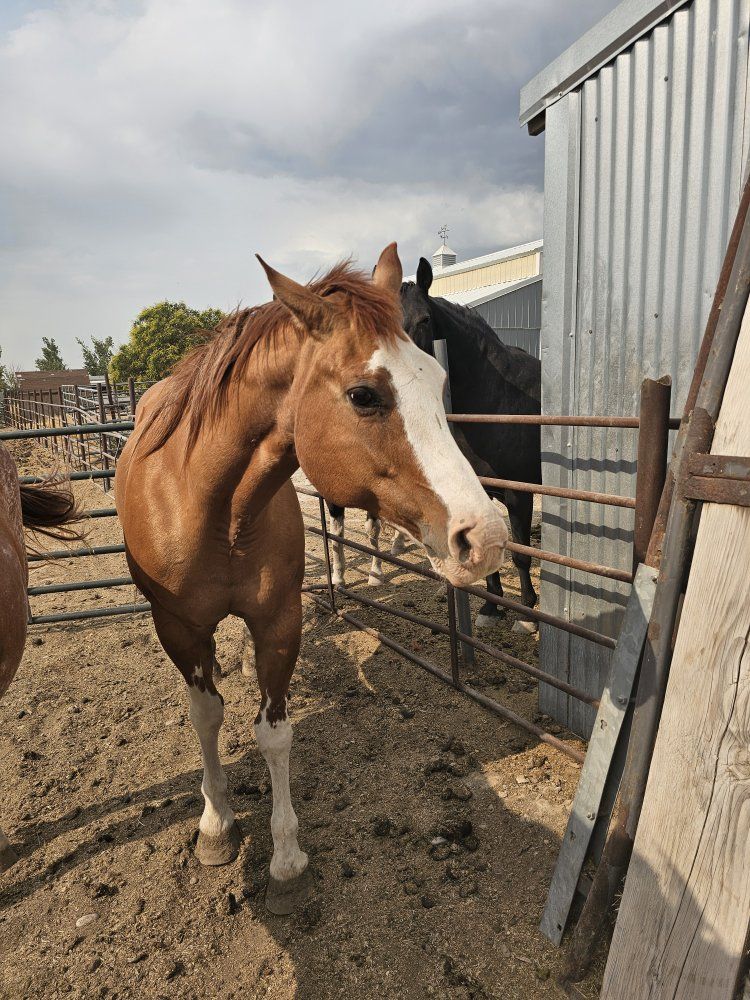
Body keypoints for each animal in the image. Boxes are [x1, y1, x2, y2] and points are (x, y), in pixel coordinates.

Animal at [115, 243, 508, 914]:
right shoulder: (180, 628)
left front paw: (287, 857)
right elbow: (206, 717)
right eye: (364, 395)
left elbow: (274, 735)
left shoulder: (278, 622)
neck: (211, 507)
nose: (487, 536)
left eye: (437, 379)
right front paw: (216, 825)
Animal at [327, 256, 542, 625]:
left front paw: (526, 613)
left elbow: (521, 555)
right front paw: (491, 606)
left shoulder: (519, 494)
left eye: (424, 319)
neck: (499, 399)